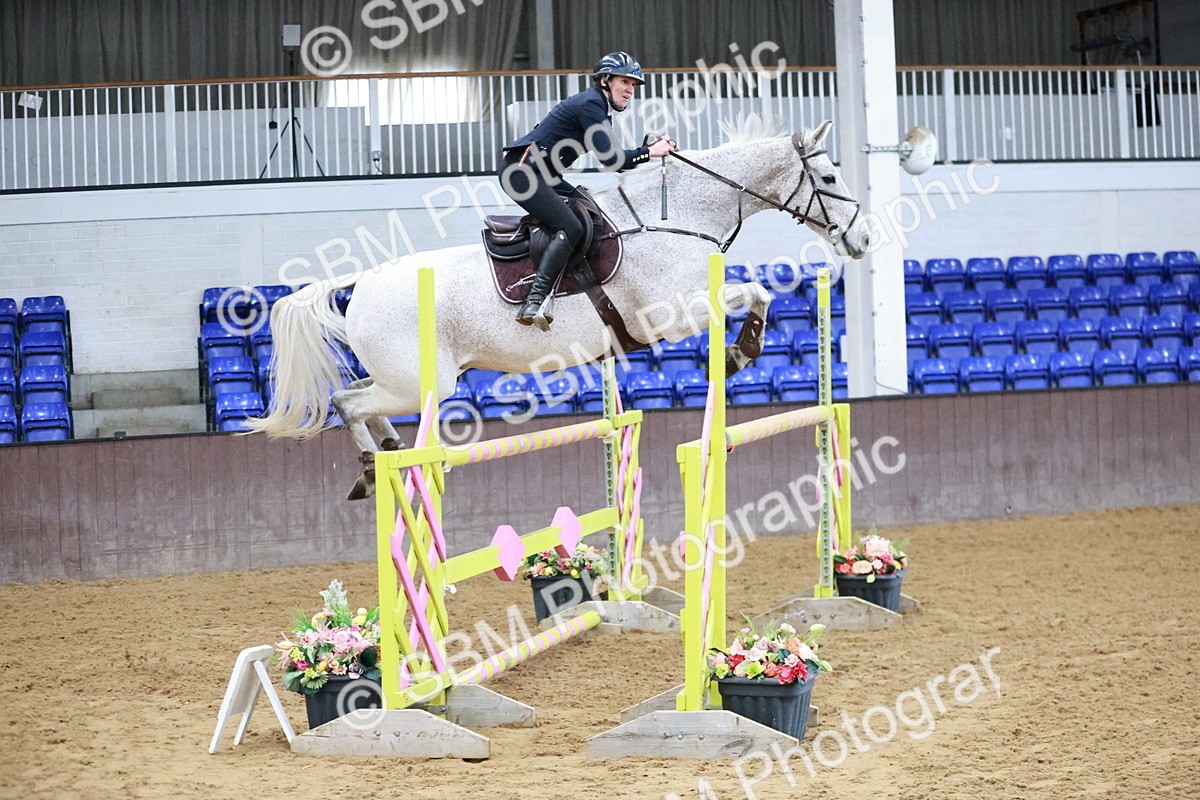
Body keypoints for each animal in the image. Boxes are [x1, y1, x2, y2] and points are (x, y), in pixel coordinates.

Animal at [245, 117, 870, 499]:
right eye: (829, 175)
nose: (861, 240)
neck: (677, 214)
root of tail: (362, 282)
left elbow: (756, 291)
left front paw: (742, 350)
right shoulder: (670, 314)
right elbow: (756, 293)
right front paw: (743, 350)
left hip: (405, 380)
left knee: (362, 399)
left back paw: (387, 457)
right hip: (421, 382)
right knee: (347, 402)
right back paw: (375, 468)